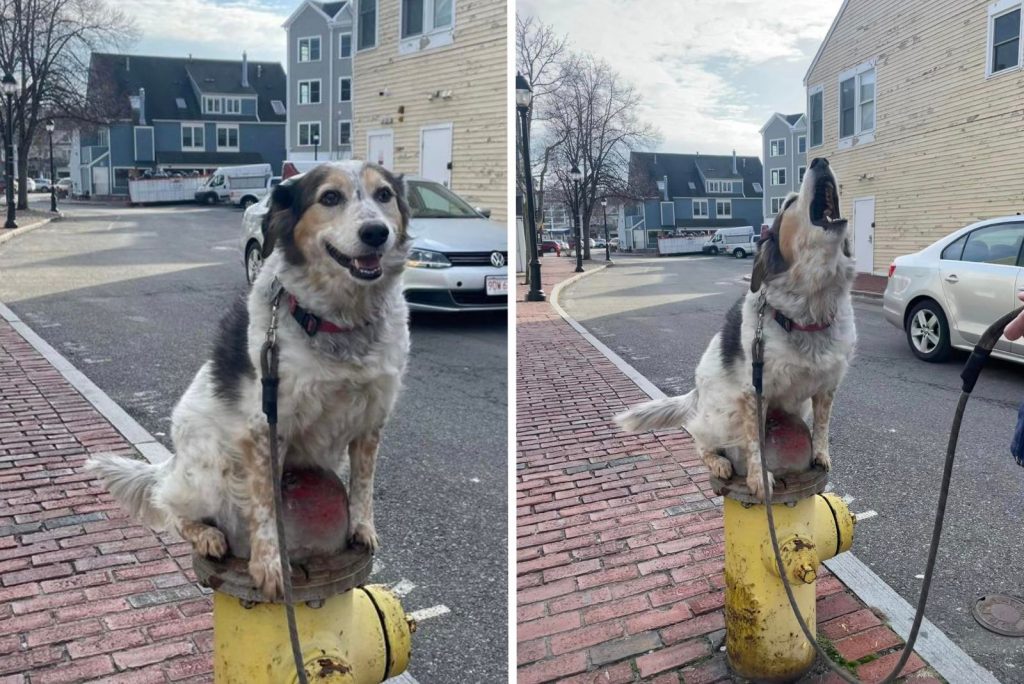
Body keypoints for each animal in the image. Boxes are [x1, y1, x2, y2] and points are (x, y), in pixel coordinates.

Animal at [84, 160, 411, 597]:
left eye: (384, 195)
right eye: (330, 197)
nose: (376, 232)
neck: (338, 321)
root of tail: (173, 462)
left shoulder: (371, 420)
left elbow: (363, 484)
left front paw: (362, 529)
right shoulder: (265, 427)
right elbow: (267, 505)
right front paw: (269, 565)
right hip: (212, 471)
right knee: (170, 507)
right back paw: (206, 534)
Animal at [614, 157, 856, 499]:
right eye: (789, 202)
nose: (819, 160)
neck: (809, 309)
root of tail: (697, 392)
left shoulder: (827, 387)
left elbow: (823, 426)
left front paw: (821, 456)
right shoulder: (753, 392)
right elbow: (755, 443)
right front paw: (759, 480)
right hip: (724, 416)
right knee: (700, 440)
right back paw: (718, 462)